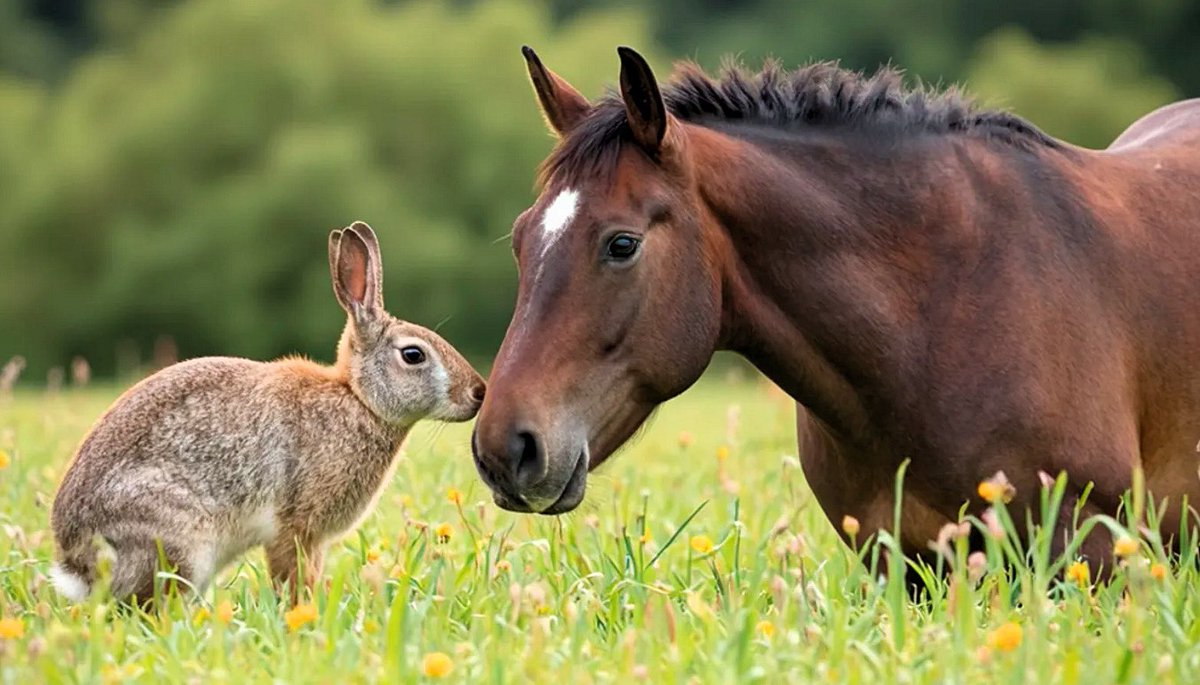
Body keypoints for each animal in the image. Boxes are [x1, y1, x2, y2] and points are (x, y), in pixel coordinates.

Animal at [49, 222, 486, 604]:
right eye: (413, 355)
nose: (478, 393)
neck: (359, 399)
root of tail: (78, 565)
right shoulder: (295, 526)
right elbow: (293, 574)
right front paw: (302, 610)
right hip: (179, 538)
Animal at [471, 45, 1200, 574]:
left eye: (621, 244)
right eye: (521, 238)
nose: (505, 448)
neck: (947, 305)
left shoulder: (1087, 557)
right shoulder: (902, 569)